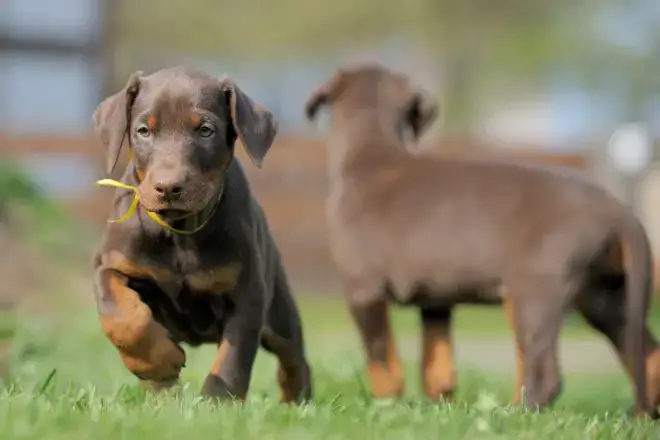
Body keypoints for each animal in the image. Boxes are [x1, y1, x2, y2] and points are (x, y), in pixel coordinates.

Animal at [91, 64, 314, 402]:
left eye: (205, 130)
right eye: (143, 131)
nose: (168, 187)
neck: (179, 232)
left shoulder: (248, 293)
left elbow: (232, 361)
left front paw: (216, 404)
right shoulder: (112, 264)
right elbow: (118, 311)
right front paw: (159, 363)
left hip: (279, 310)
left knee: (293, 357)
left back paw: (297, 400)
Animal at [304, 63, 660, 418]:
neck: (372, 153)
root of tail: (620, 213)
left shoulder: (364, 290)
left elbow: (381, 359)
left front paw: (386, 407)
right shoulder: (436, 299)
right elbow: (437, 365)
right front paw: (439, 410)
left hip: (534, 295)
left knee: (544, 374)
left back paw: (512, 414)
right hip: (607, 299)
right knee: (648, 356)